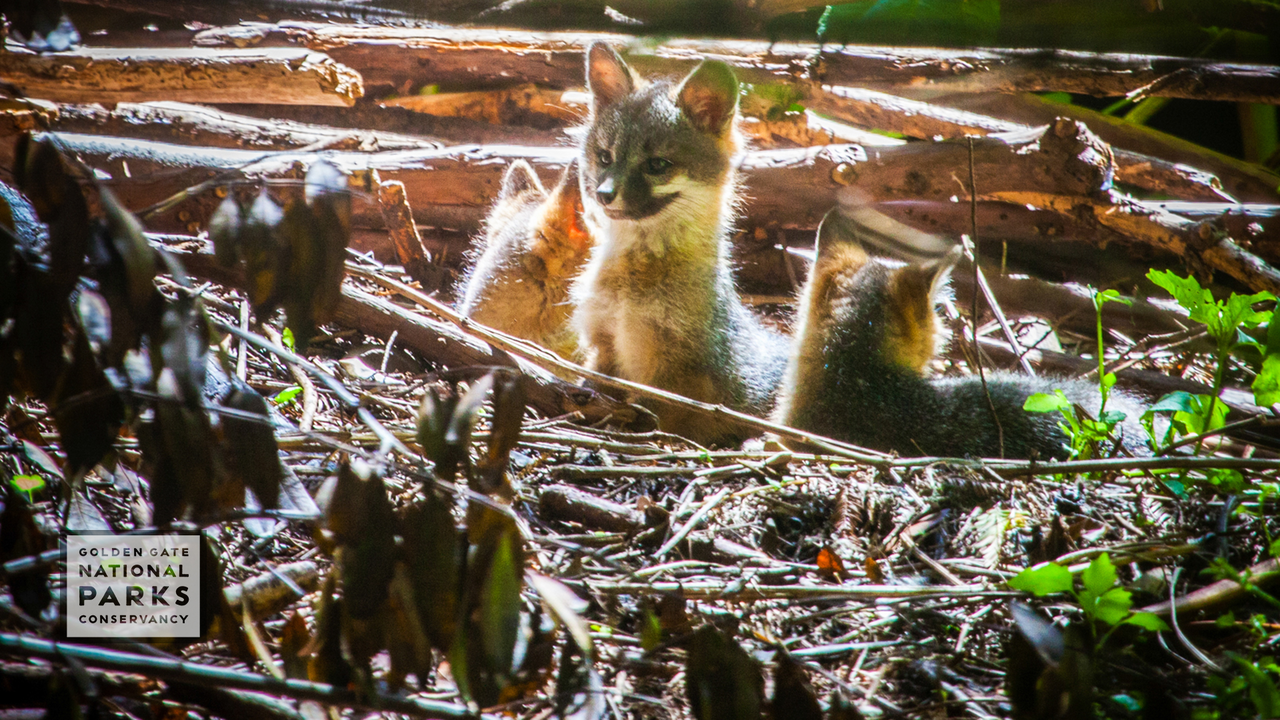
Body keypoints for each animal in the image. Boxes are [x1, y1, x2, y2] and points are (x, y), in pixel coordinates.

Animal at [570, 44, 790, 446]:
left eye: (657, 165)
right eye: (605, 157)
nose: (604, 195)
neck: (631, 289)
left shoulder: (675, 379)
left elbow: (656, 418)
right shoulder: (603, 348)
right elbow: (593, 387)